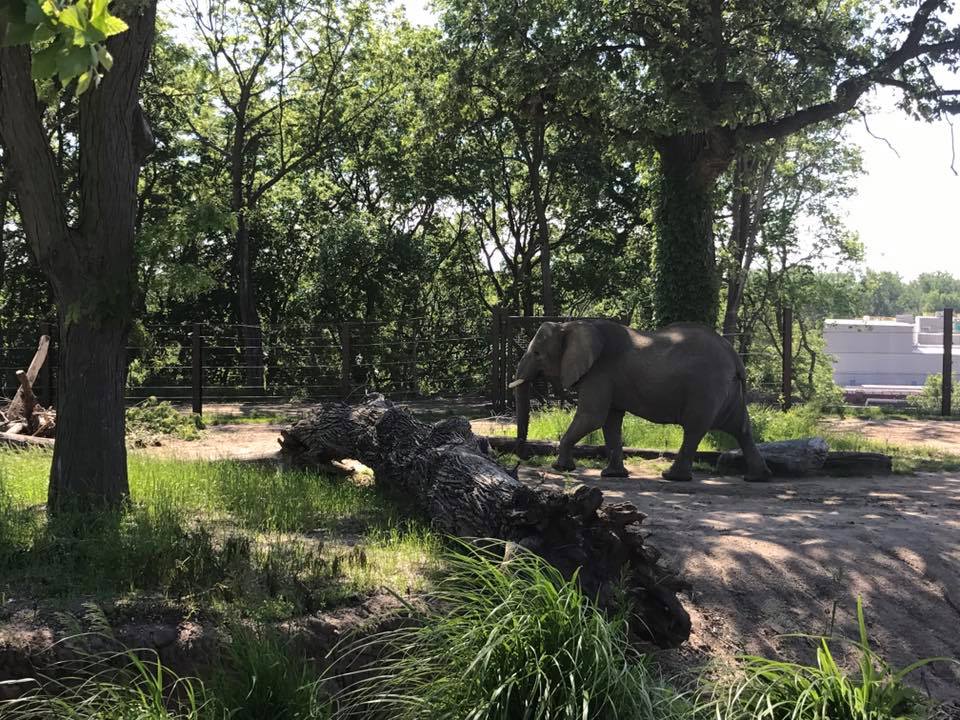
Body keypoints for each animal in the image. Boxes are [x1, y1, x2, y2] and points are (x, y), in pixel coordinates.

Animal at [509, 320, 771, 482]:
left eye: (537, 354)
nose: (522, 459)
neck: (572, 325)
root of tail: (734, 356)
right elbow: (610, 422)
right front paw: (613, 475)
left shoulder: (600, 372)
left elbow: (592, 417)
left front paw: (561, 468)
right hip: (728, 391)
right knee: (740, 428)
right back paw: (757, 477)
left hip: (706, 388)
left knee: (695, 429)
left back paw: (671, 477)